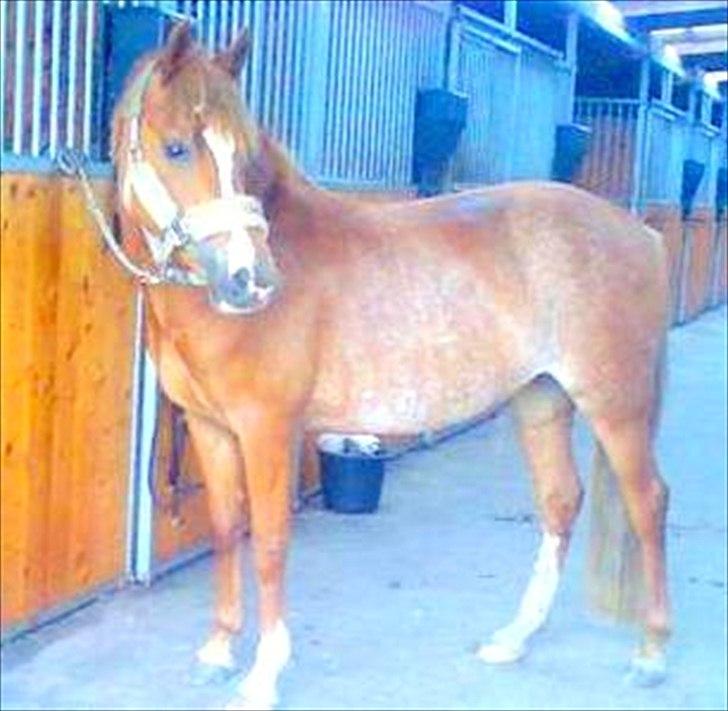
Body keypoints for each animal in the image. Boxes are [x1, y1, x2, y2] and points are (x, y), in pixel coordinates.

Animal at [110, 22, 672, 710]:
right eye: (176, 148)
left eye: (242, 156)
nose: (252, 281)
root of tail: (640, 233)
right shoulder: (210, 428)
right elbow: (225, 528)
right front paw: (217, 650)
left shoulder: (268, 429)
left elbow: (267, 542)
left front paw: (264, 674)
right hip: (541, 400)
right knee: (561, 501)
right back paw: (514, 638)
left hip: (616, 405)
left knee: (648, 502)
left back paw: (651, 655)